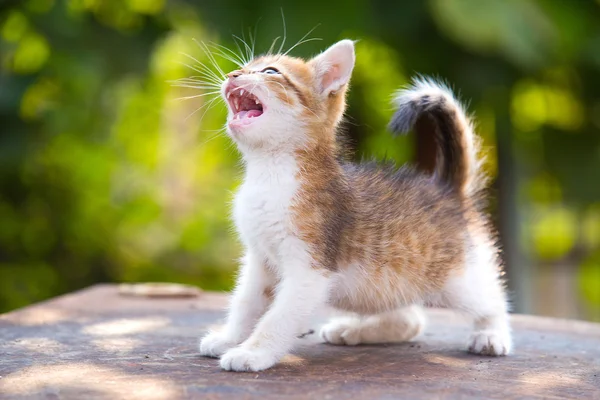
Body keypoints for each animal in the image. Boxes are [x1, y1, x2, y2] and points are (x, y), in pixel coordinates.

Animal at [197, 39, 510, 370]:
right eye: (244, 68)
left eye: (270, 72)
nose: (232, 75)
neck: (269, 172)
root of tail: (448, 189)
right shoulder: (260, 260)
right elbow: (245, 303)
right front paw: (229, 338)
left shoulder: (309, 270)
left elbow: (277, 317)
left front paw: (253, 353)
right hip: (386, 283)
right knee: (412, 318)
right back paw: (353, 330)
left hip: (457, 280)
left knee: (490, 301)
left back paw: (491, 334)